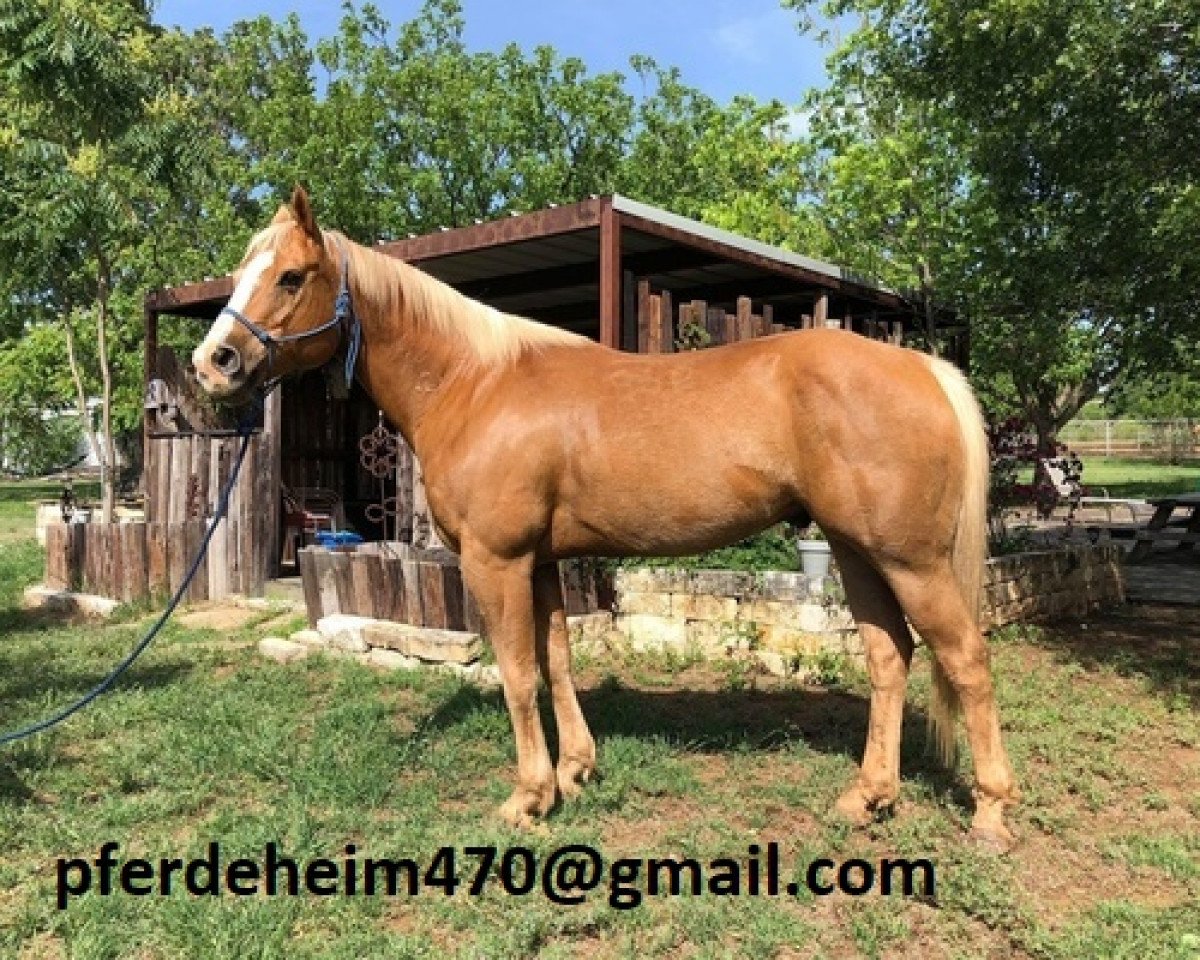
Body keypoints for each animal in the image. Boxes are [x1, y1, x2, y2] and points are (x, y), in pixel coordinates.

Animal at [193, 186, 1019, 849]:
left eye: (291, 277)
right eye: (246, 272)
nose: (213, 363)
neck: (476, 382)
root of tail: (923, 367)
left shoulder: (497, 560)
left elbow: (517, 672)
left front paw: (528, 797)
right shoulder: (543, 561)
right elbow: (557, 661)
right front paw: (576, 771)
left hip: (910, 559)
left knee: (966, 661)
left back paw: (990, 813)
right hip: (857, 549)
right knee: (890, 658)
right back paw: (868, 797)